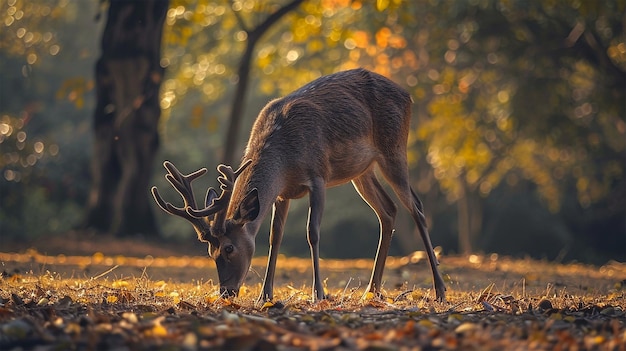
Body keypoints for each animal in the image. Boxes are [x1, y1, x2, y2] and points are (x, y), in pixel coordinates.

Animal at [151, 68, 444, 302]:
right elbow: (274, 237)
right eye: (210, 252)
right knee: (388, 210)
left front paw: (319, 294)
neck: (285, 160)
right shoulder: (283, 194)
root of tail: (407, 95)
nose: (226, 292)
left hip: (394, 148)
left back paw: (439, 290)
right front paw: (264, 295)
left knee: (417, 208)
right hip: (362, 171)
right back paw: (371, 291)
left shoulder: (318, 176)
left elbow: (312, 232)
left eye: (229, 248)